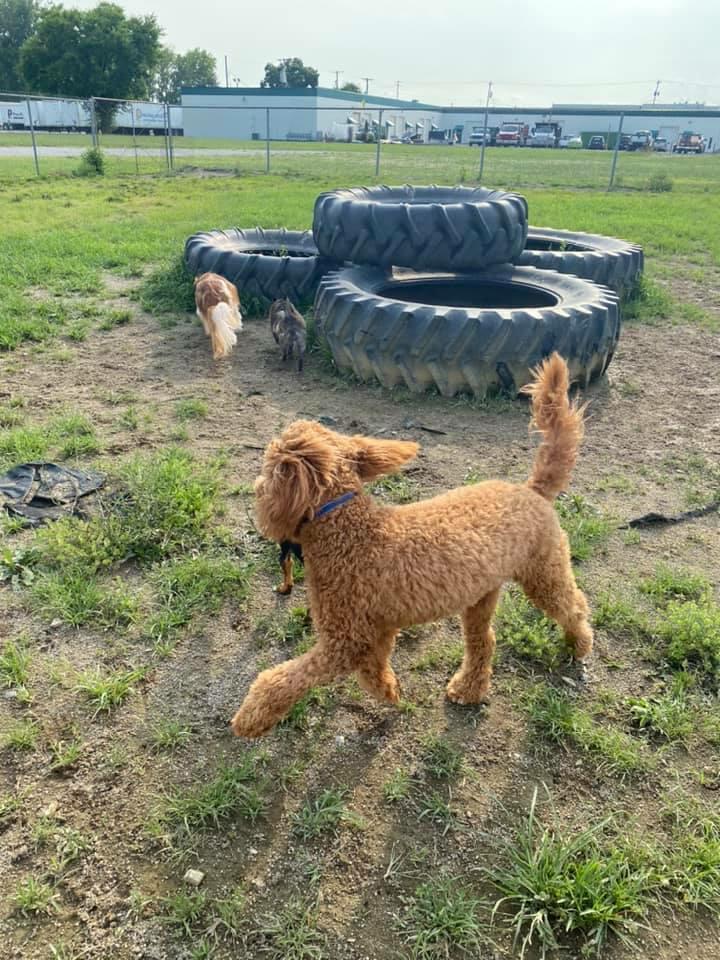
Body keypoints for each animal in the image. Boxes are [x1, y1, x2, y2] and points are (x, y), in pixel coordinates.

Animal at [231, 356, 592, 740]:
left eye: (269, 470)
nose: (257, 489)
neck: (350, 531)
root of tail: (531, 490)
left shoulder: (346, 639)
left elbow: (283, 679)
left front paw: (251, 717)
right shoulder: (376, 631)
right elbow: (372, 671)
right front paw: (390, 693)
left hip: (544, 572)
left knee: (574, 606)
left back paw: (580, 643)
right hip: (480, 594)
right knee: (485, 640)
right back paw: (469, 689)